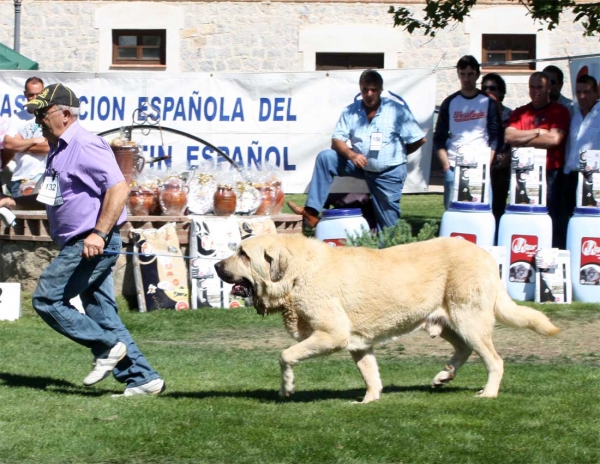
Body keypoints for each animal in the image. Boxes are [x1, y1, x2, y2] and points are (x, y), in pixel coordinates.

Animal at [213, 236, 560, 402]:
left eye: (244, 254)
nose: (216, 266)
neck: (298, 274)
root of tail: (486, 255)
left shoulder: (332, 335)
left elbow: (285, 356)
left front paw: (287, 388)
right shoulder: (358, 344)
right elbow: (371, 375)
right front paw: (369, 401)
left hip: (468, 320)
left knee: (493, 360)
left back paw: (488, 393)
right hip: (446, 321)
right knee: (463, 349)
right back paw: (443, 376)